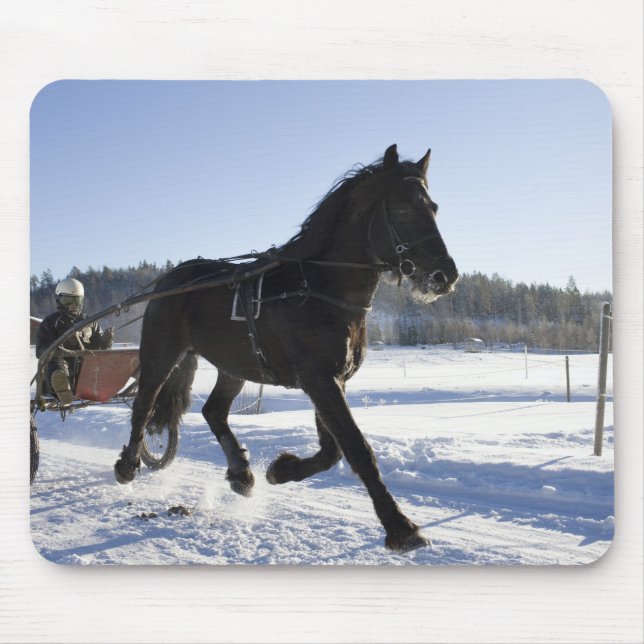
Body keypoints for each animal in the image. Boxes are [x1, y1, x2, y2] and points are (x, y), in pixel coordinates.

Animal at [114, 144, 459, 552]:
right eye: (403, 208)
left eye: (433, 208)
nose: (445, 274)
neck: (321, 287)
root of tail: (171, 278)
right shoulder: (319, 378)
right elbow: (356, 447)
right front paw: (400, 526)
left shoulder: (333, 379)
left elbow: (331, 450)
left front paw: (282, 469)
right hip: (162, 351)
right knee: (144, 403)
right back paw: (127, 465)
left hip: (234, 364)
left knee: (214, 411)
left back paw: (241, 474)